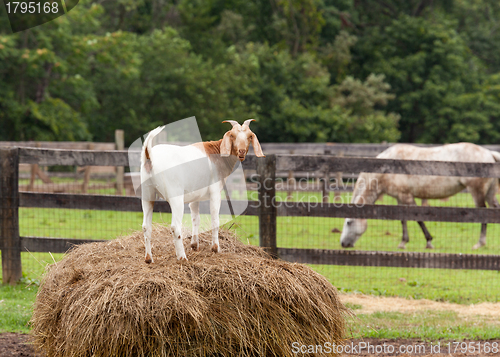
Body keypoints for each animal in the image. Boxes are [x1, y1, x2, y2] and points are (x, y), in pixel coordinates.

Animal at [141, 119, 266, 262]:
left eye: (249, 136)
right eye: (232, 135)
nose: (241, 151)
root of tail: (149, 155)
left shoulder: (195, 197)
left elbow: (196, 219)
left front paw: (195, 245)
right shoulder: (215, 192)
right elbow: (215, 220)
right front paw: (215, 248)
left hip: (147, 194)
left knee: (146, 226)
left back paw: (149, 259)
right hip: (175, 197)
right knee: (175, 227)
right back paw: (182, 257)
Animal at [340, 143, 500, 249]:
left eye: (349, 222)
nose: (343, 243)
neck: (386, 167)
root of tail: (488, 153)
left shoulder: (407, 196)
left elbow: (418, 219)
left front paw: (429, 241)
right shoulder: (400, 197)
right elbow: (403, 219)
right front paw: (403, 242)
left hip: (477, 191)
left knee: (483, 214)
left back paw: (479, 243)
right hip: (489, 193)